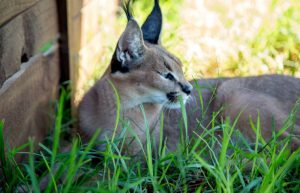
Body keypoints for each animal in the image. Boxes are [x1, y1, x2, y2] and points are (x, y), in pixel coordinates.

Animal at [78, 0, 300, 154]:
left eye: (181, 69)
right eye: (166, 74)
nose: (189, 89)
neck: (118, 109)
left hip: (231, 92)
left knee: (290, 144)